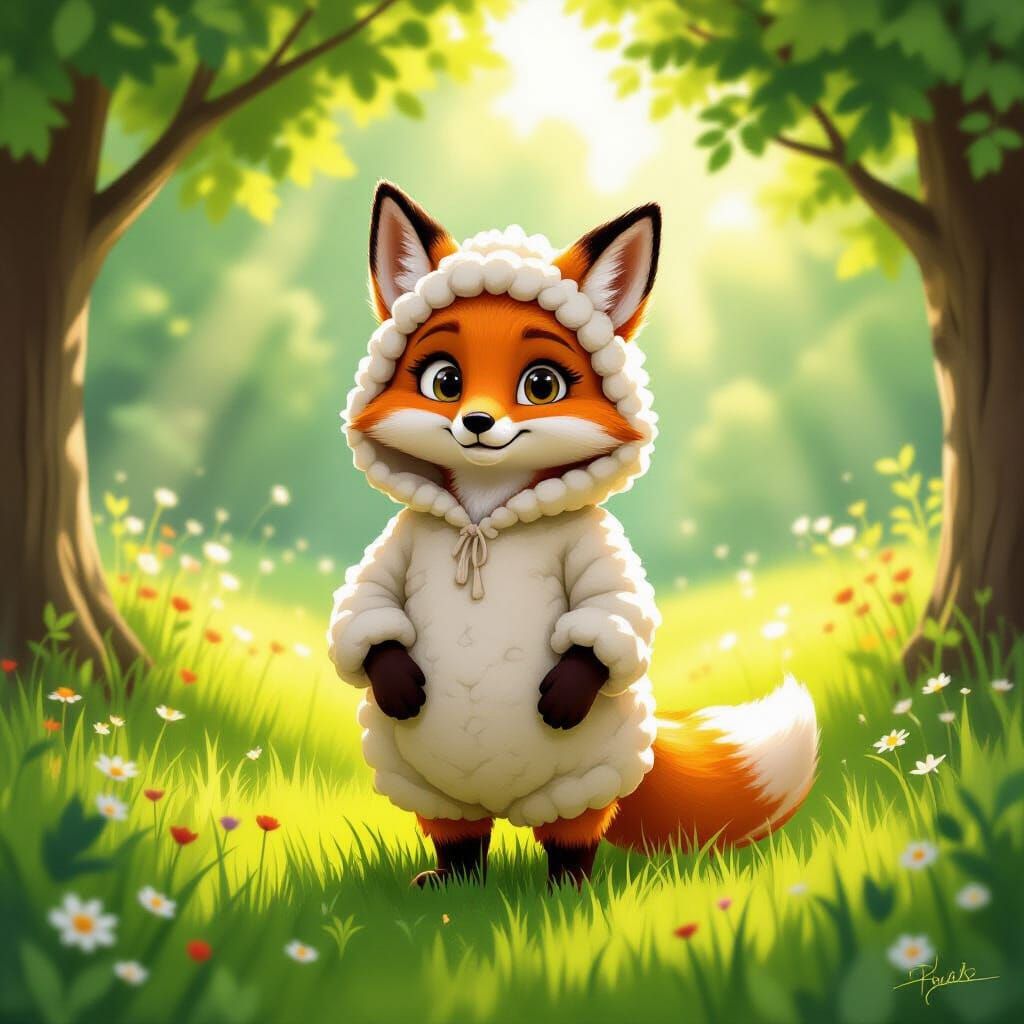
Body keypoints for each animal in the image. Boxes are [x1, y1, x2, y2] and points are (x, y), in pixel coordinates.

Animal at [328, 182, 818, 887]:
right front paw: (395, 679)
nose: (477, 422)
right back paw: (450, 882)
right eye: (444, 381)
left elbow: (607, 614)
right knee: (461, 837)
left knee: (573, 835)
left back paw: (568, 888)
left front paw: (565, 690)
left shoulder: (598, 551)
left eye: (542, 384)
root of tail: (500, 801)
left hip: (588, 776)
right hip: (426, 785)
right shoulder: (395, 548)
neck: (485, 516)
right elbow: (367, 610)